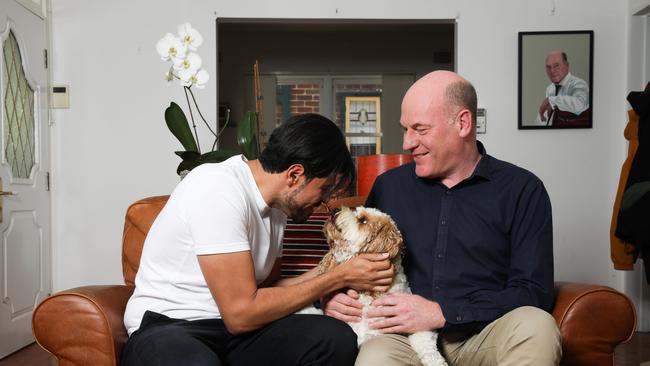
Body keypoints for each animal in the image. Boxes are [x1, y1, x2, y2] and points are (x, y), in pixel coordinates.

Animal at [316, 207, 446, 364]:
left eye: (363, 220)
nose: (334, 209)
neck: (366, 294)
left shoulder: (412, 318)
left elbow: (426, 343)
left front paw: (436, 361)